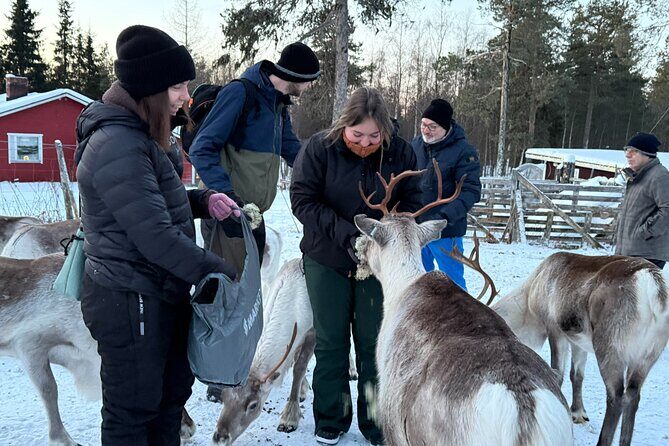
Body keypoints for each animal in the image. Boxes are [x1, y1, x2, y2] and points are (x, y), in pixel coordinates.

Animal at [492, 252, 669, 446]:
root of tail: (651, 281)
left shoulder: (554, 328)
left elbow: (558, 374)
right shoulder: (578, 341)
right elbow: (576, 375)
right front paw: (578, 413)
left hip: (610, 347)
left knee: (616, 396)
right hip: (647, 355)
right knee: (633, 394)